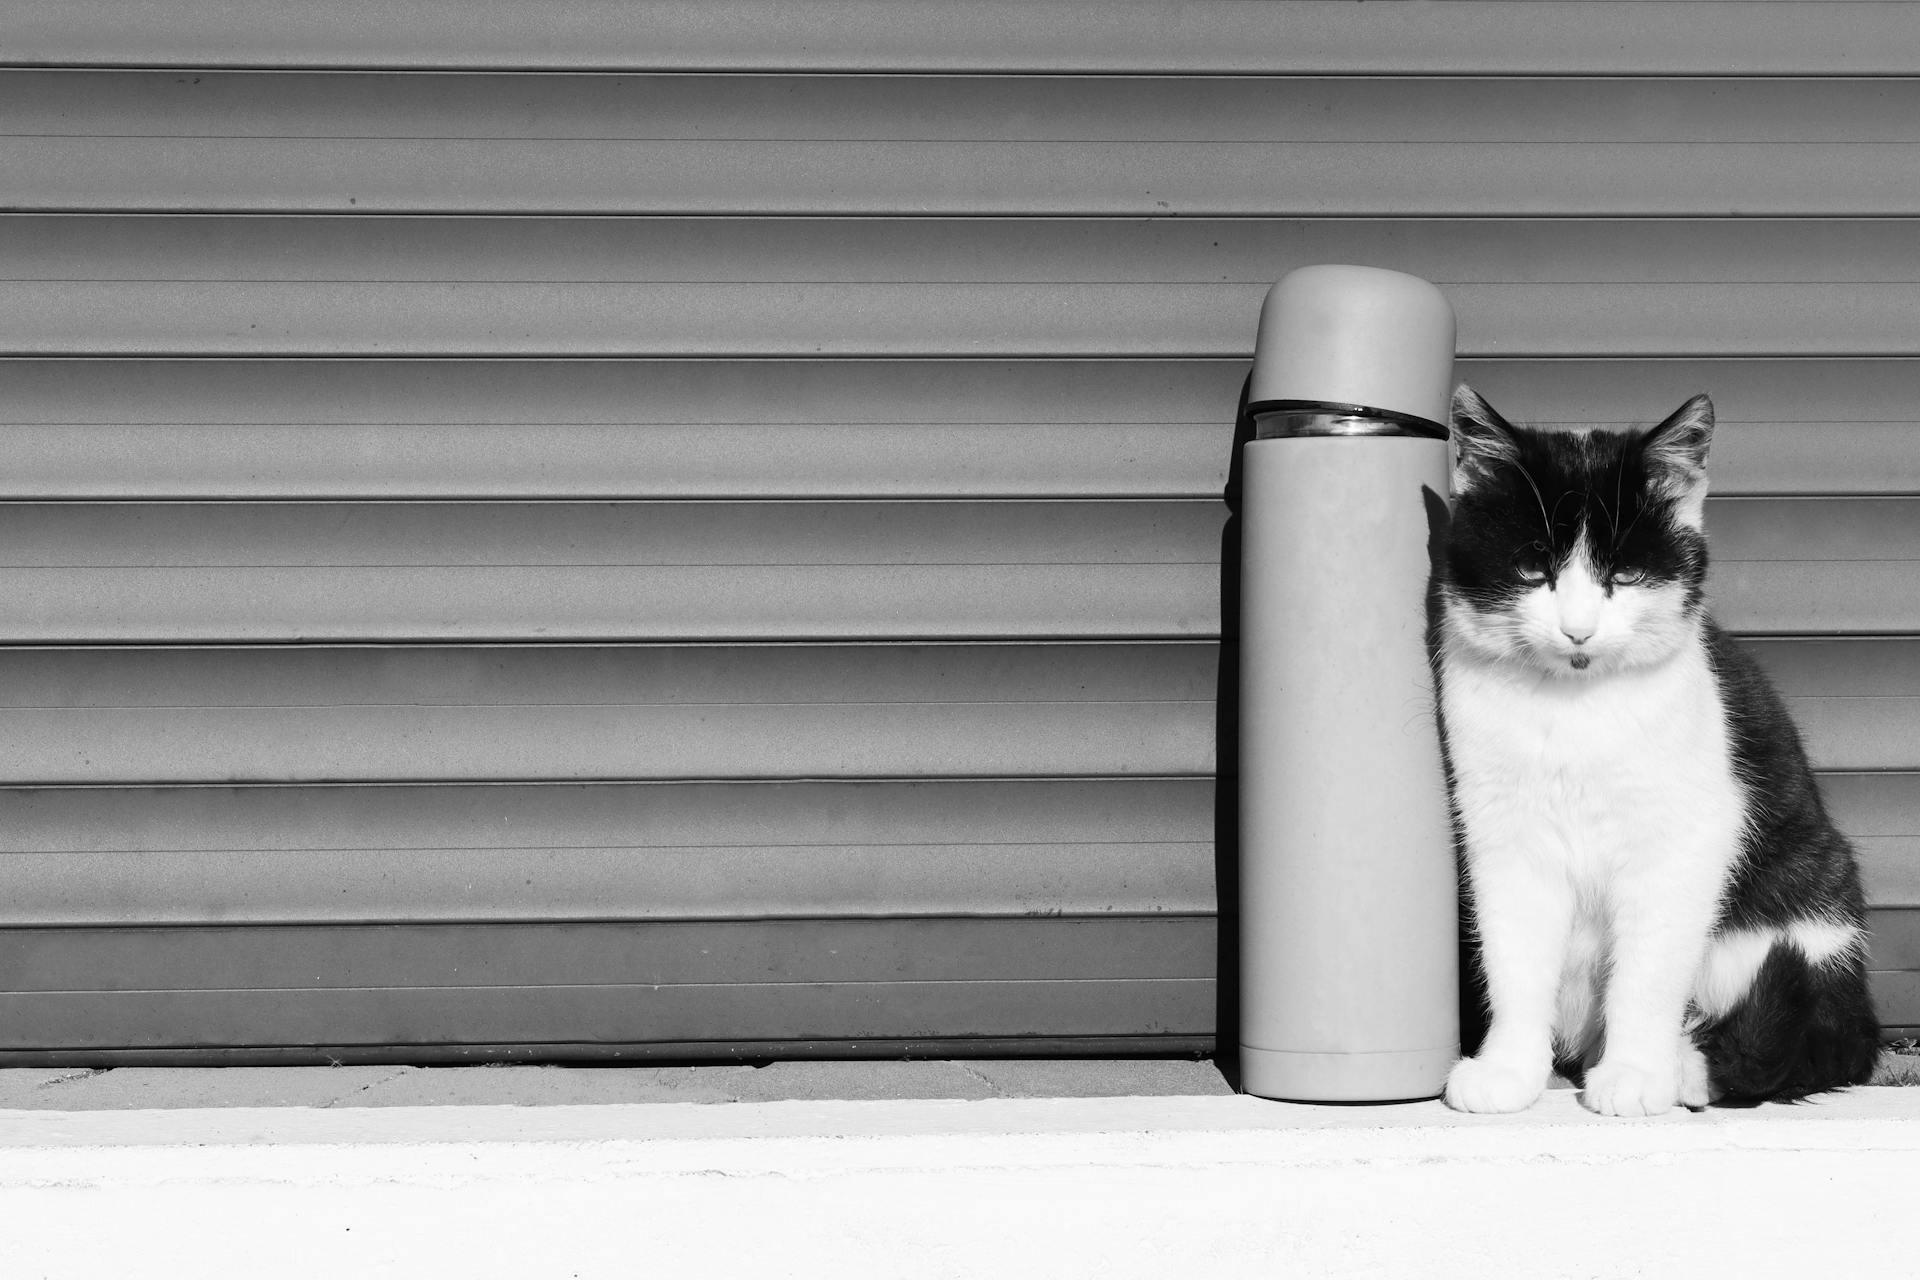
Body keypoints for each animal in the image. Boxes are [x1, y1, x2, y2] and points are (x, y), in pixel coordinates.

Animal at [1443, 385, 1873, 1113]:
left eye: (1626, 572)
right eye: (1531, 568)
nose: (1578, 629)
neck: (1575, 710)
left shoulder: (1686, 838)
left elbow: (1647, 970)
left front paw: (1638, 1074)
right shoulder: (1504, 836)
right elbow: (1515, 958)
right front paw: (1508, 1070)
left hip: (1805, 921)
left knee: (1817, 1041)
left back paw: (1683, 1065)